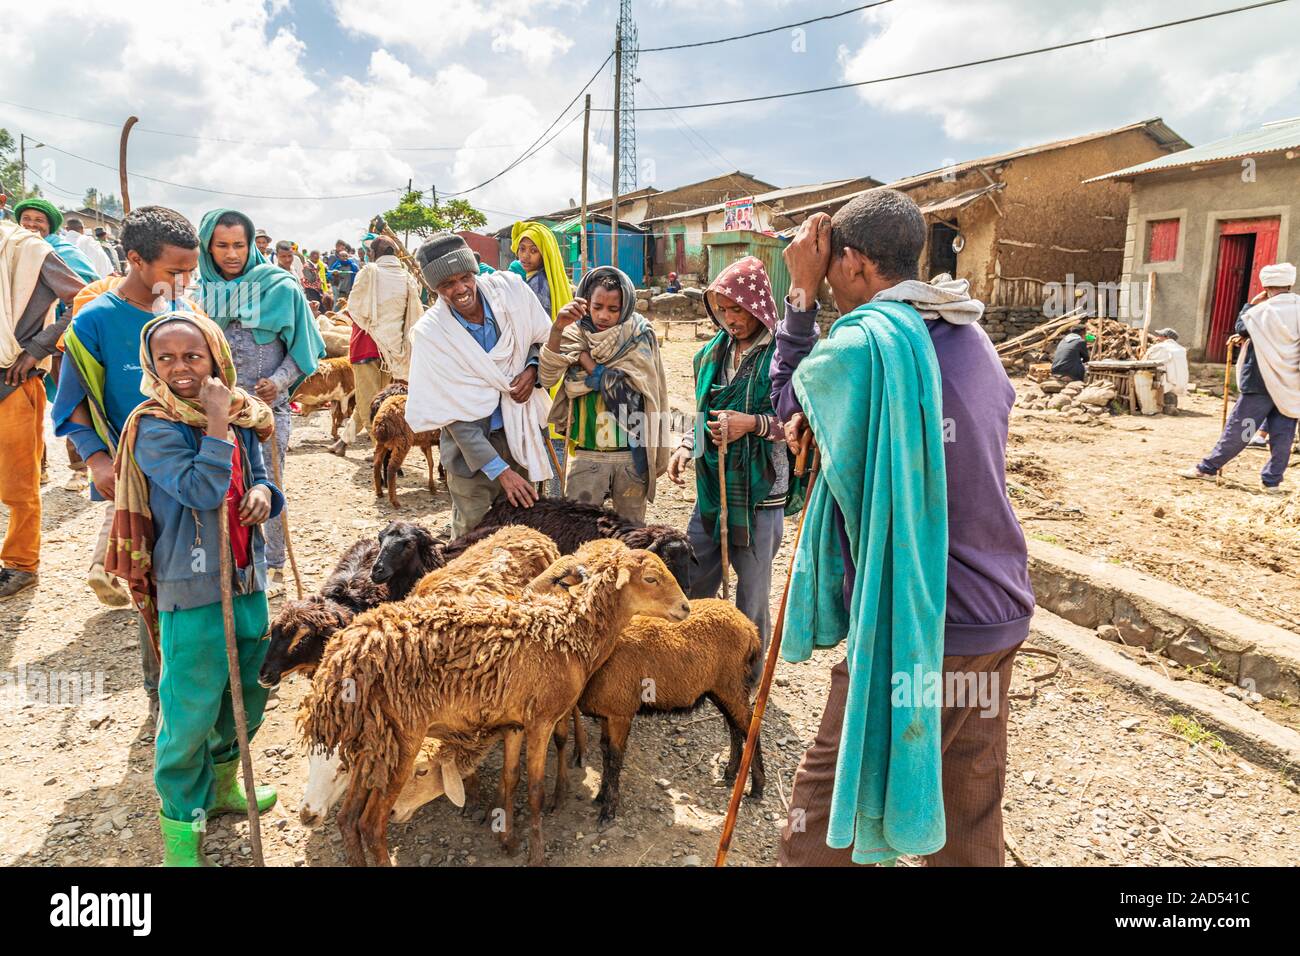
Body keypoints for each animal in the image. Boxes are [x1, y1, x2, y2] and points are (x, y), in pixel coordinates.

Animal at [300, 541, 696, 868]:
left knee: (347, 820)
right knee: (370, 825)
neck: (570, 633)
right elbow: (534, 790)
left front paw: (508, 840)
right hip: (401, 742)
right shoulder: (540, 720)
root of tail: (340, 659)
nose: (686, 607)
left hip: (372, 744)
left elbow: (510, 777)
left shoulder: (514, 722)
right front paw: (536, 854)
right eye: (651, 578)